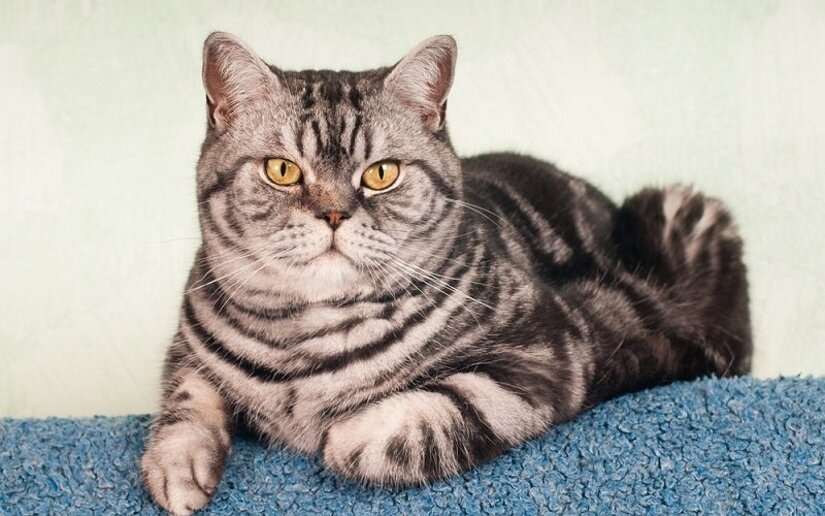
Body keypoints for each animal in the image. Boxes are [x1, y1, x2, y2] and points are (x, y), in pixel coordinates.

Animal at [143, 33, 752, 516]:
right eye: (282, 170)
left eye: (381, 174)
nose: (335, 214)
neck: (305, 342)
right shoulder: (187, 347)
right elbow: (185, 399)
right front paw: (175, 466)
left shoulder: (546, 351)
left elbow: (419, 417)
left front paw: (341, 435)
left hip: (680, 214)